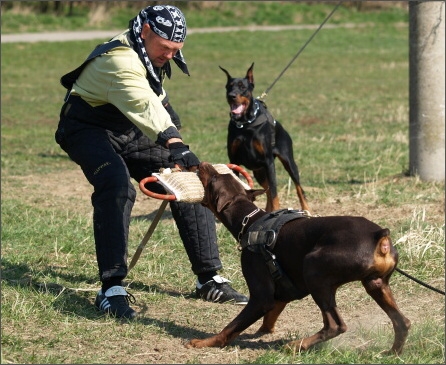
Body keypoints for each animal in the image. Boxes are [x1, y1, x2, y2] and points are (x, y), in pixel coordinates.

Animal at [186, 161, 412, 352]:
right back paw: (391, 353)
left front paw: (205, 342)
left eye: (214, 178)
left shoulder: (261, 297)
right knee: (403, 322)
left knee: (335, 325)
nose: (201, 163)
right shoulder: (283, 291)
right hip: (376, 283)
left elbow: (232, 327)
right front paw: (263, 332)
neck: (250, 222)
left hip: (313, 269)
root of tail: (379, 236)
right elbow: (270, 316)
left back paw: (297, 345)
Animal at [220, 61, 310, 212]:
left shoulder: (268, 162)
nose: (231, 95)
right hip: (259, 172)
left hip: (287, 162)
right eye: (229, 87)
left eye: (243, 87)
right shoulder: (234, 161)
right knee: (266, 190)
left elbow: (274, 193)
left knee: (297, 187)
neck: (245, 124)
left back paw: (306, 209)